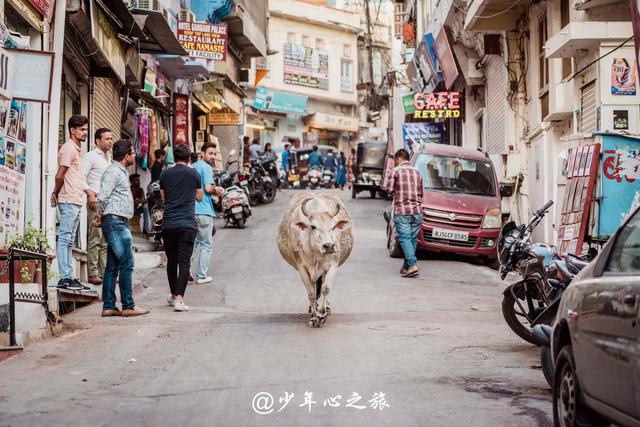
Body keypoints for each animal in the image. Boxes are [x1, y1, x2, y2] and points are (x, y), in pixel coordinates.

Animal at [276, 194, 356, 328]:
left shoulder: (333, 265)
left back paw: (326, 308)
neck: (316, 253)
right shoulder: (302, 268)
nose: (329, 246)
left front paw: (322, 314)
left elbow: (325, 289)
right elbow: (311, 294)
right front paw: (314, 317)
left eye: (333, 227)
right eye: (313, 227)